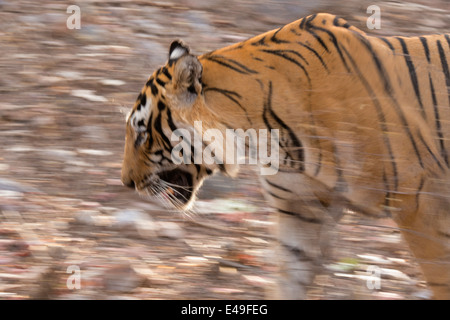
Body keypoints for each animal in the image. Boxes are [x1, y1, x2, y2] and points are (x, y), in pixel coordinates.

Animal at [120, 11, 450, 298]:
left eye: (142, 133)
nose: (126, 182)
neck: (265, 140)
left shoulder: (421, 203)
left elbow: (440, 277)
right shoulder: (299, 209)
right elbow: (288, 281)